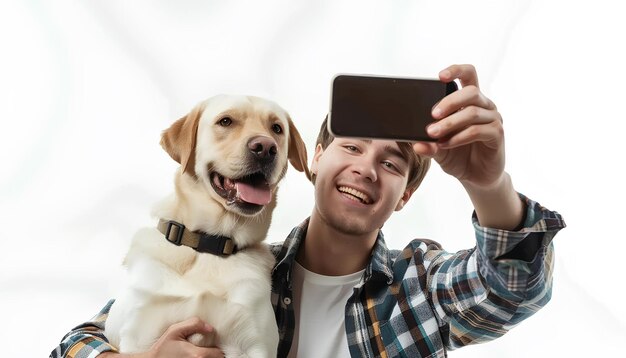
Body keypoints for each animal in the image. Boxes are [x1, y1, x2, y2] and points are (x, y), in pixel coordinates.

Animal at [105, 96, 310, 358]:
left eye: (277, 128)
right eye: (226, 121)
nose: (266, 147)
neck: (209, 244)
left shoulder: (253, 345)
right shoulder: (143, 340)